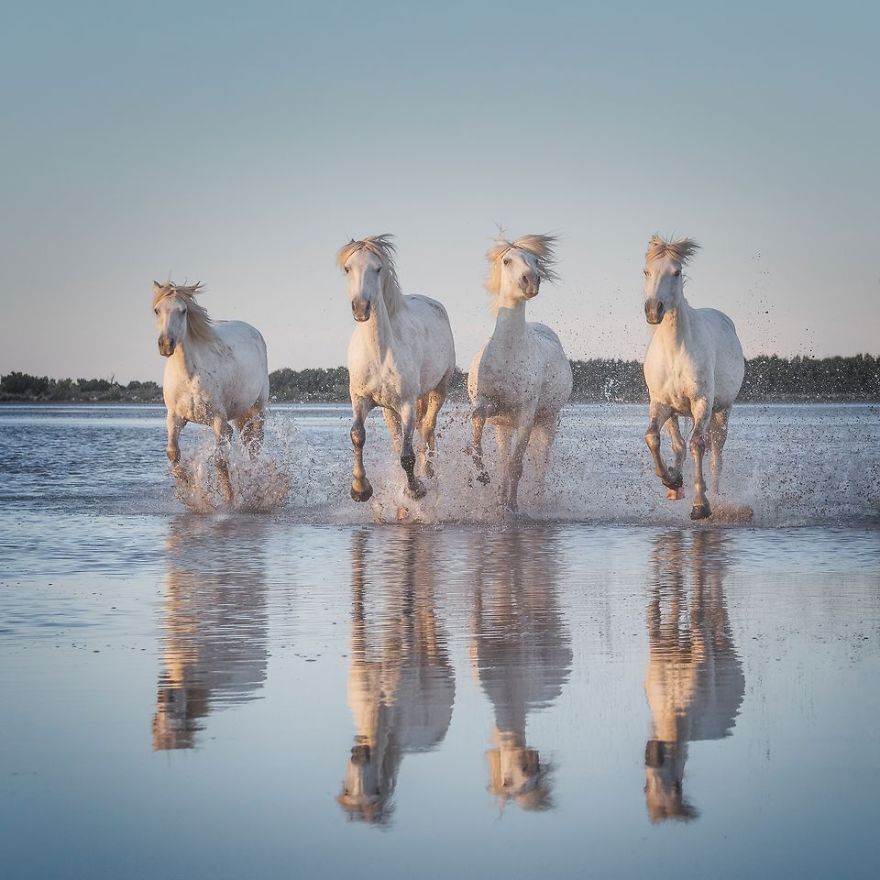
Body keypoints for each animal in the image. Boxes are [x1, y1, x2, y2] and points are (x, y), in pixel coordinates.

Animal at [152, 282, 268, 502]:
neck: (188, 376)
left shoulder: (217, 419)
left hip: (257, 409)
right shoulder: (174, 418)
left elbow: (220, 461)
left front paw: (229, 499)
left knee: (255, 447)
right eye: (156, 310)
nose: (166, 344)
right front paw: (188, 486)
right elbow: (172, 453)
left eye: (183, 310)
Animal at [336, 234, 458, 502]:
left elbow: (408, 455)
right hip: (388, 409)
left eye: (378, 268)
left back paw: (428, 474)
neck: (379, 354)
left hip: (439, 389)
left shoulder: (407, 405)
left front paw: (415, 489)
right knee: (400, 438)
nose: (361, 307)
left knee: (427, 431)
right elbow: (357, 436)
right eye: (348, 268)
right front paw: (360, 489)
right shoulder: (359, 398)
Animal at [470, 232, 576, 516]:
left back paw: (536, 500)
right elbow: (478, 425)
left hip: (547, 421)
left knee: (540, 462)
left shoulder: (526, 416)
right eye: (507, 261)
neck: (508, 352)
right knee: (505, 460)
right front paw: (481, 475)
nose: (531, 281)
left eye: (536, 260)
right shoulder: (490, 405)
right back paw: (499, 497)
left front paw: (513, 507)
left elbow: (517, 465)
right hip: (503, 427)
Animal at [640, 237, 744, 520]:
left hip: (721, 410)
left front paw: (700, 505)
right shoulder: (661, 404)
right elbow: (654, 438)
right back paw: (676, 486)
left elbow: (697, 444)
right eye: (646, 272)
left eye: (676, 272)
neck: (675, 350)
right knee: (678, 444)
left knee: (715, 454)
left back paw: (715, 496)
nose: (653, 310)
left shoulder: (701, 403)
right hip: (676, 412)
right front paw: (671, 481)